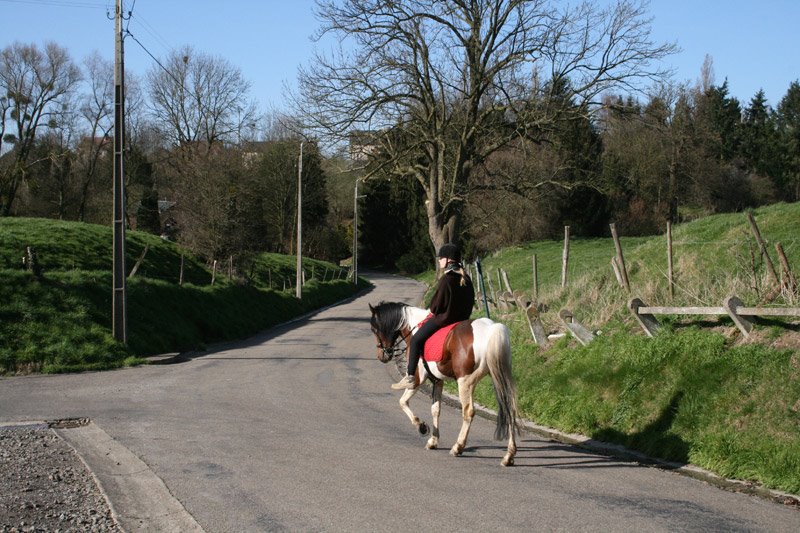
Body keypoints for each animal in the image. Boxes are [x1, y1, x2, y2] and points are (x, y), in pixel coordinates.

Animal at [368, 300, 520, 466]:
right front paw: (433, 441)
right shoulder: (437, 380)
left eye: (374, 329)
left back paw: (458, 447)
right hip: (499, 375)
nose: (382, 356)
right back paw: (509, 456)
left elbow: (402, 402)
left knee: (468, 411)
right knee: (510, 408)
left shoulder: (418, 379)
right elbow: (435, 409)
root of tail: (491, 329)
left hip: (465, 382)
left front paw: (421, 426)